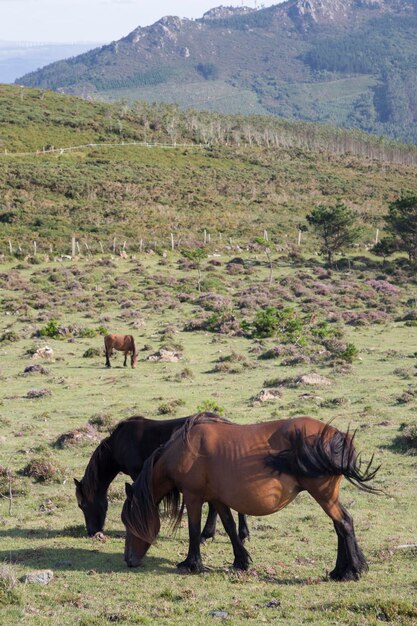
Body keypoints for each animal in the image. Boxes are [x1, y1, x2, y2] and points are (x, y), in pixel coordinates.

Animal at [73, 412, 249, 540]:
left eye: (82, 505)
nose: (91, 532)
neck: (119, 443)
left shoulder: (137, 474)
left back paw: (207, 534)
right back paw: (240, 533)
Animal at [121, 414, 380, 580]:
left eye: (128, 521)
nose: (128, 560)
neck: (185, 450)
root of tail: (336, 435)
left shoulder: (193, 497)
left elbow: (194, 531)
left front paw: (191, 564)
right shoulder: (217, 499)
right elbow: (229, 527)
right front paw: (241, 561)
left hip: (323, 495)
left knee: (343, 523)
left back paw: (350, 572)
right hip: (328, 496)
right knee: (342, 524)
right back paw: (342, 570)